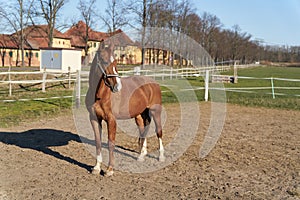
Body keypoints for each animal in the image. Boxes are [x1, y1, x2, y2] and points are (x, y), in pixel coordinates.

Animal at [85, 43, 165, 176]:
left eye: (116, 62)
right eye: (104, 61)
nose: (117, 86)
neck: (100, 95)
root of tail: (152, 82)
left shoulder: (111, 120)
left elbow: (111, 143)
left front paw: (109, 170)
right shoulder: (94, 119)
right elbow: (98, 142)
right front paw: (96, 168)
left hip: (156, 111)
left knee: (158, 131)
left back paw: (161, 157)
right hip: (139, 115)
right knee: (143, 129)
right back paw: (141, 156)